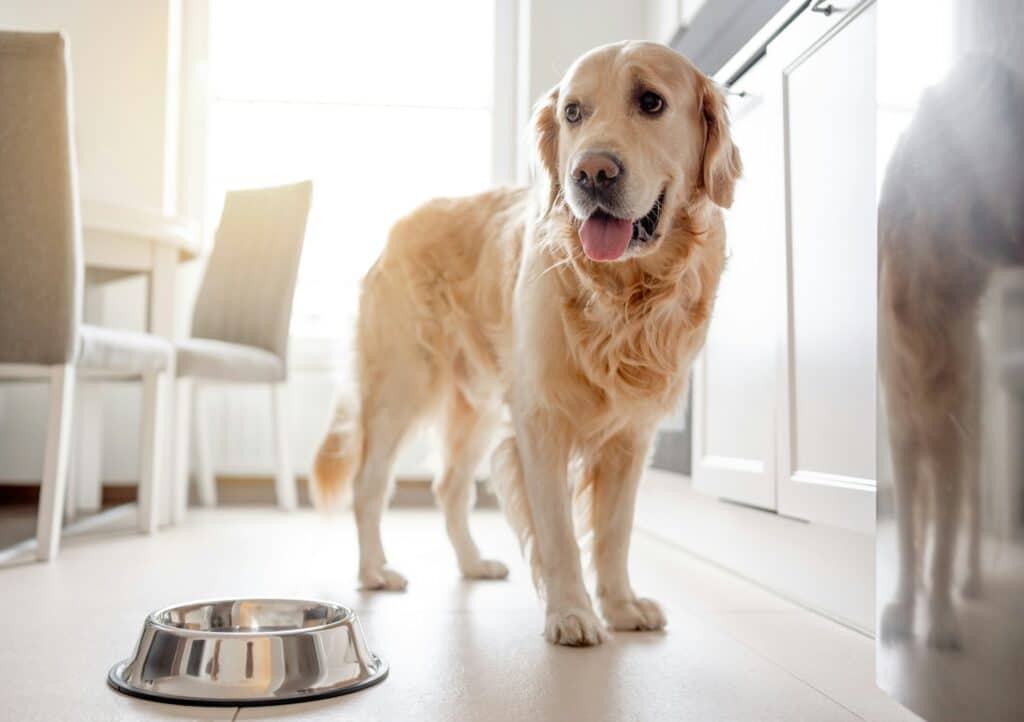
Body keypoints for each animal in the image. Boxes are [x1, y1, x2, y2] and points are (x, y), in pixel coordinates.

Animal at [313, 42, 745, 643]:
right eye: (573, 112)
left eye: (652, 102)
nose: (591, 171)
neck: (622, 293)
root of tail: (401, 225)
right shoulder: (540, 420)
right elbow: (559, 532)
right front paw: (571, 613)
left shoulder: (631, 434)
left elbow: (615, 531)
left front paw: (621, 606)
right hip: (401, 385)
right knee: (369, 485)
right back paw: (375, 571)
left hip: (476, 406)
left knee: (449, 487)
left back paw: (473, 563)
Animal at [876, 56, 1024, 647]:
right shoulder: (902, 438)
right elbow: (909, 538)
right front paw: (903, 603)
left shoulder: (951, 442)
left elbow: (942, 540)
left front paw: (939, 619)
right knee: (917, 520)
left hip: (976, 436)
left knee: (967, 523)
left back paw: (972, 582)